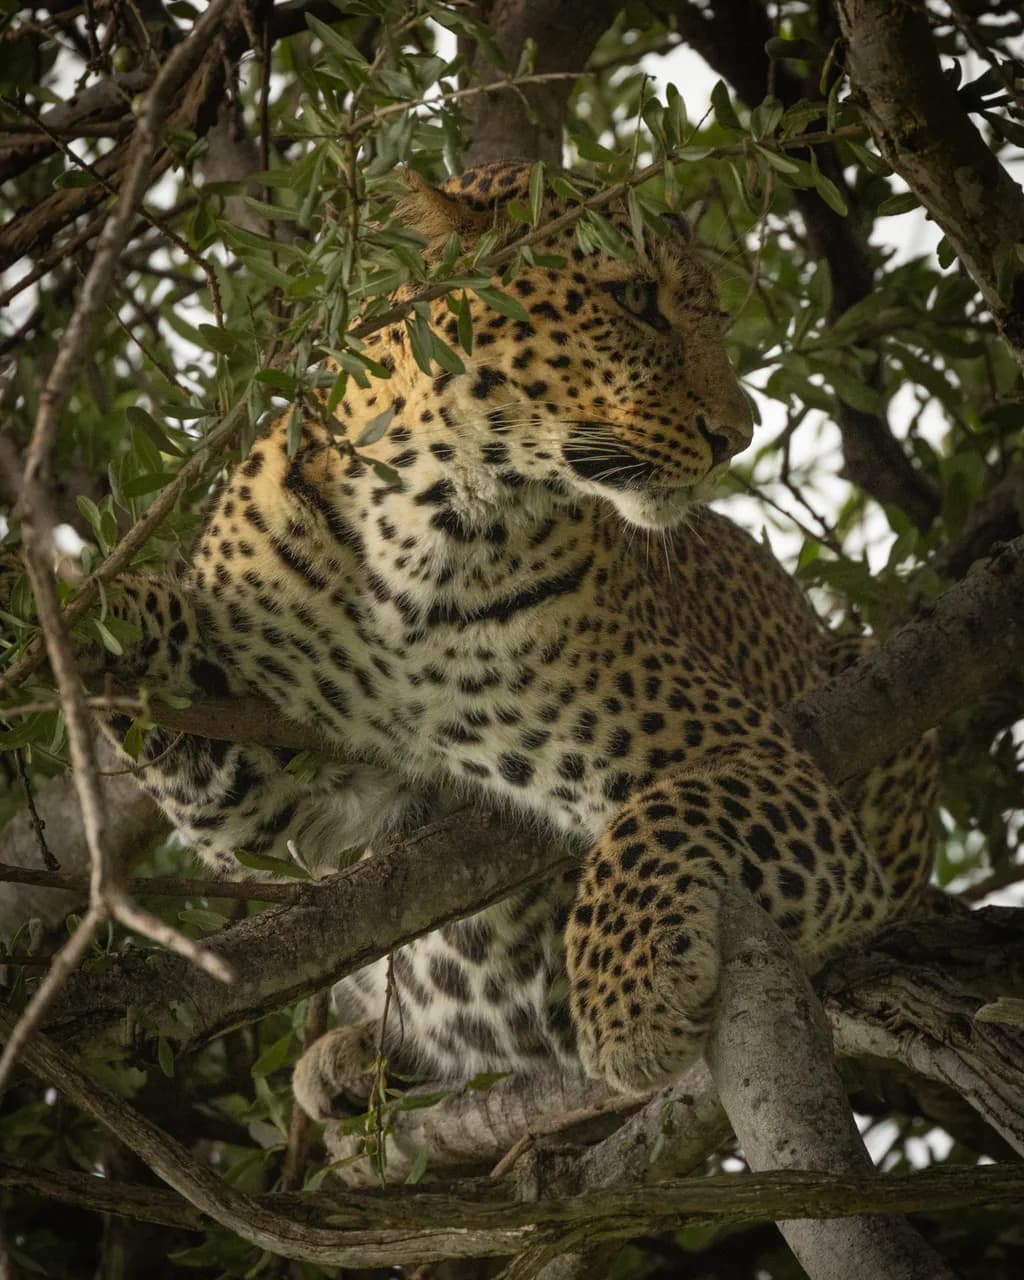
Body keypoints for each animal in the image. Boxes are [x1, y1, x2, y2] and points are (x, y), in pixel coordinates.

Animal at [87, 161, 936, 1120]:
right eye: (635, 299)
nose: (738, 435)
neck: (422, 516)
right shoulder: (274, 785)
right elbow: (178, 686)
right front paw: (77, 604)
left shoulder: (761, 761)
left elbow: (651, 818)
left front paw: (626, 998)